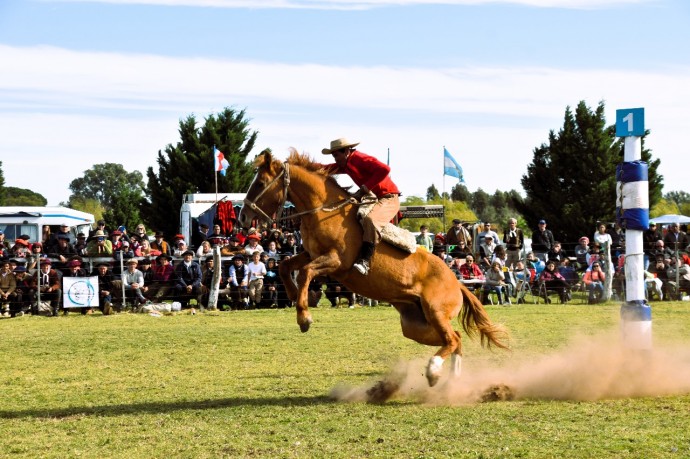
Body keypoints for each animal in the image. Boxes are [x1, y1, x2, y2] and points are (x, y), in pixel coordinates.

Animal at [239, 149, 508, 386]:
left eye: (260, 182)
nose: (242, 218)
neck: (325, 213)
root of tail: (457, 284)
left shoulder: (336, 261)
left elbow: (305, 272)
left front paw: (304, 316)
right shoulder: (309, 254)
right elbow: (286, 266)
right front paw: (295, 297)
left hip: (435, 312)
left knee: (452, 339)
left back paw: (433, 371)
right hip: (416, 325)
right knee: (455, 339)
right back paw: (451, 379)